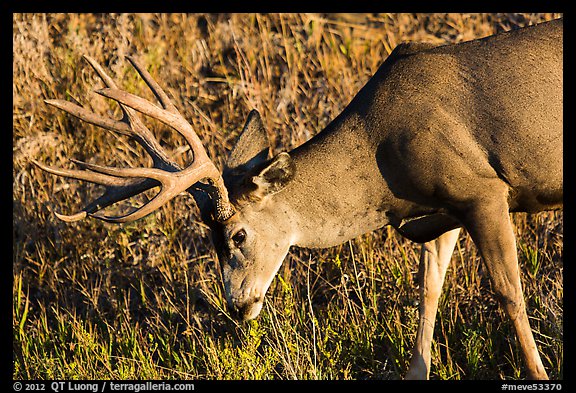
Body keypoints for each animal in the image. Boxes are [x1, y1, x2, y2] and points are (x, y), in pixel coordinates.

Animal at [32, 17, 564, 376]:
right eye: (208, 241)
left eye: (238, 235)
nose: (237, 306)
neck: (380, 165)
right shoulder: (439, 214)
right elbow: (428, 294)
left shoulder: (483, 190)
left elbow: (509, 292)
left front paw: (538, 372)